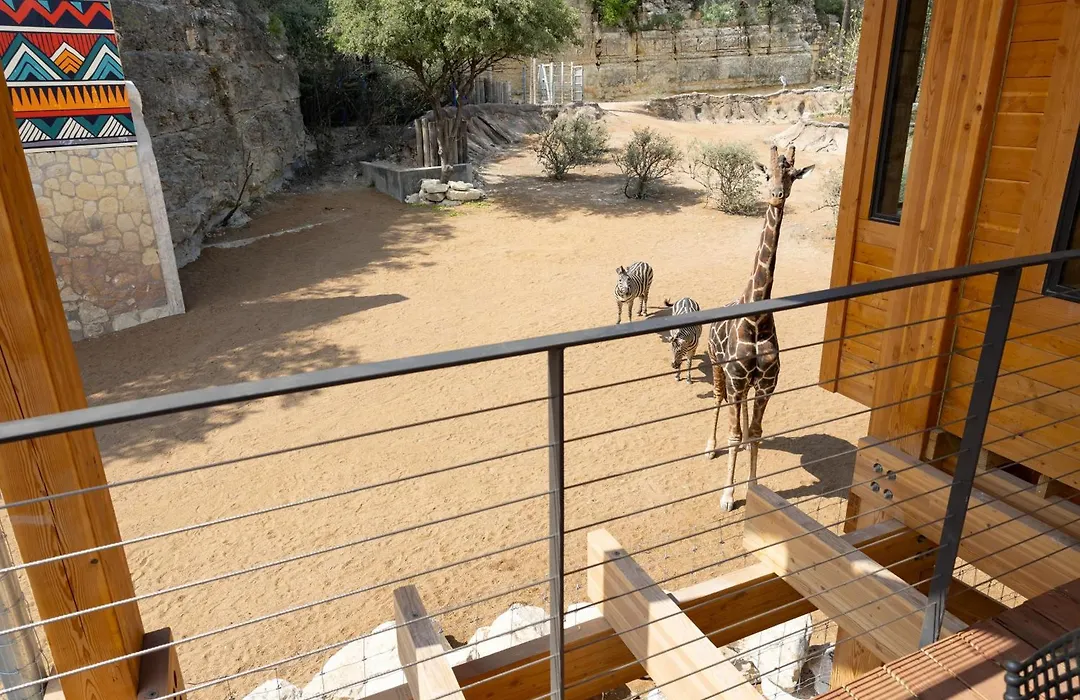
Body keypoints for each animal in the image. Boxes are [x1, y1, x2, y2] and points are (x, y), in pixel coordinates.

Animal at [706, 145, 814, 512]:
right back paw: (709, 446)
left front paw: (753, 487)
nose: (777, 195)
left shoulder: (767, 384)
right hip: (718, 368)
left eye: (792, 174)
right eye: (767, 174)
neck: (756, 320)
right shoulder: (738, 379)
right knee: (719, 401)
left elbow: (754, 432)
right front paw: (727, 496)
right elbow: (735, 435)